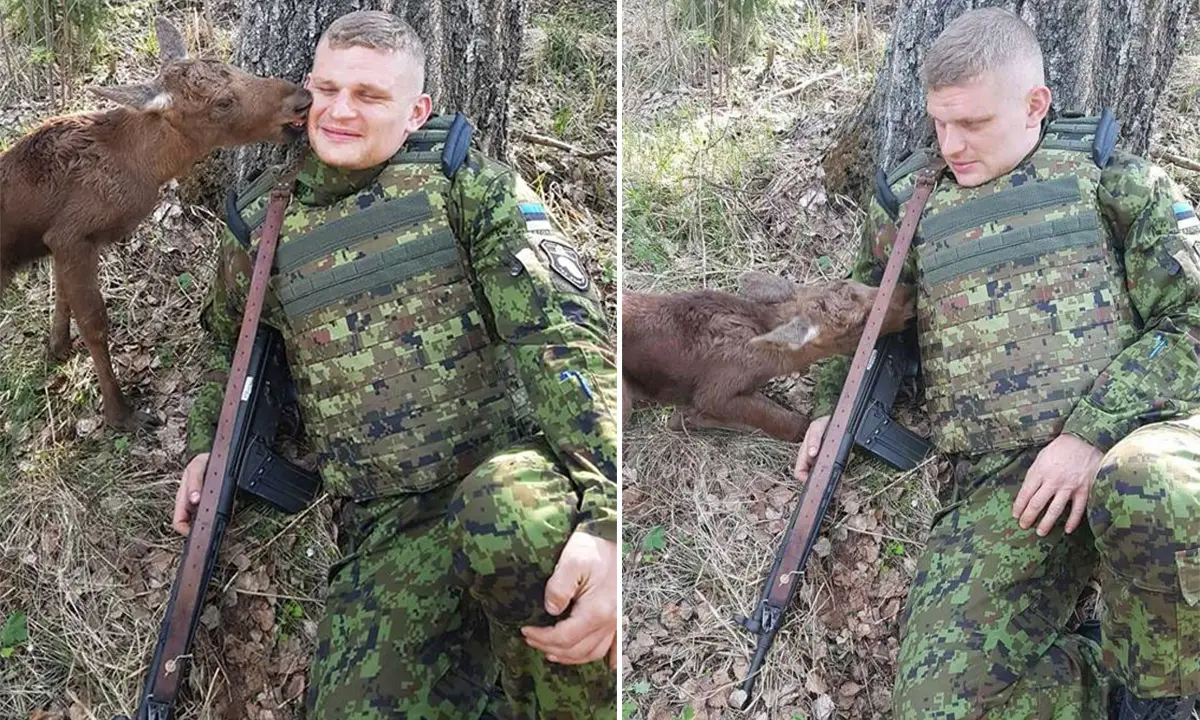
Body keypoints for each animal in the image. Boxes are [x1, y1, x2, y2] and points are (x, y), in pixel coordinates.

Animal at [624, 270, 912, 439]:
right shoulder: (716, 389)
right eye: (861, 323)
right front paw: (687, 418)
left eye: (857, 282)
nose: (908, 294)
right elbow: (794, 424)